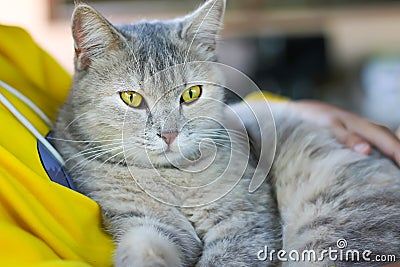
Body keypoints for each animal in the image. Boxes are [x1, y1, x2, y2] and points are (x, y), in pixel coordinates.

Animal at [54, 0, 400, 266]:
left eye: (191, 94)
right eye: (131, 98)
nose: (169, 134)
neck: (172, 178)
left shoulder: (245, 222)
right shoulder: (146, 221)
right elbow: (146, 248)